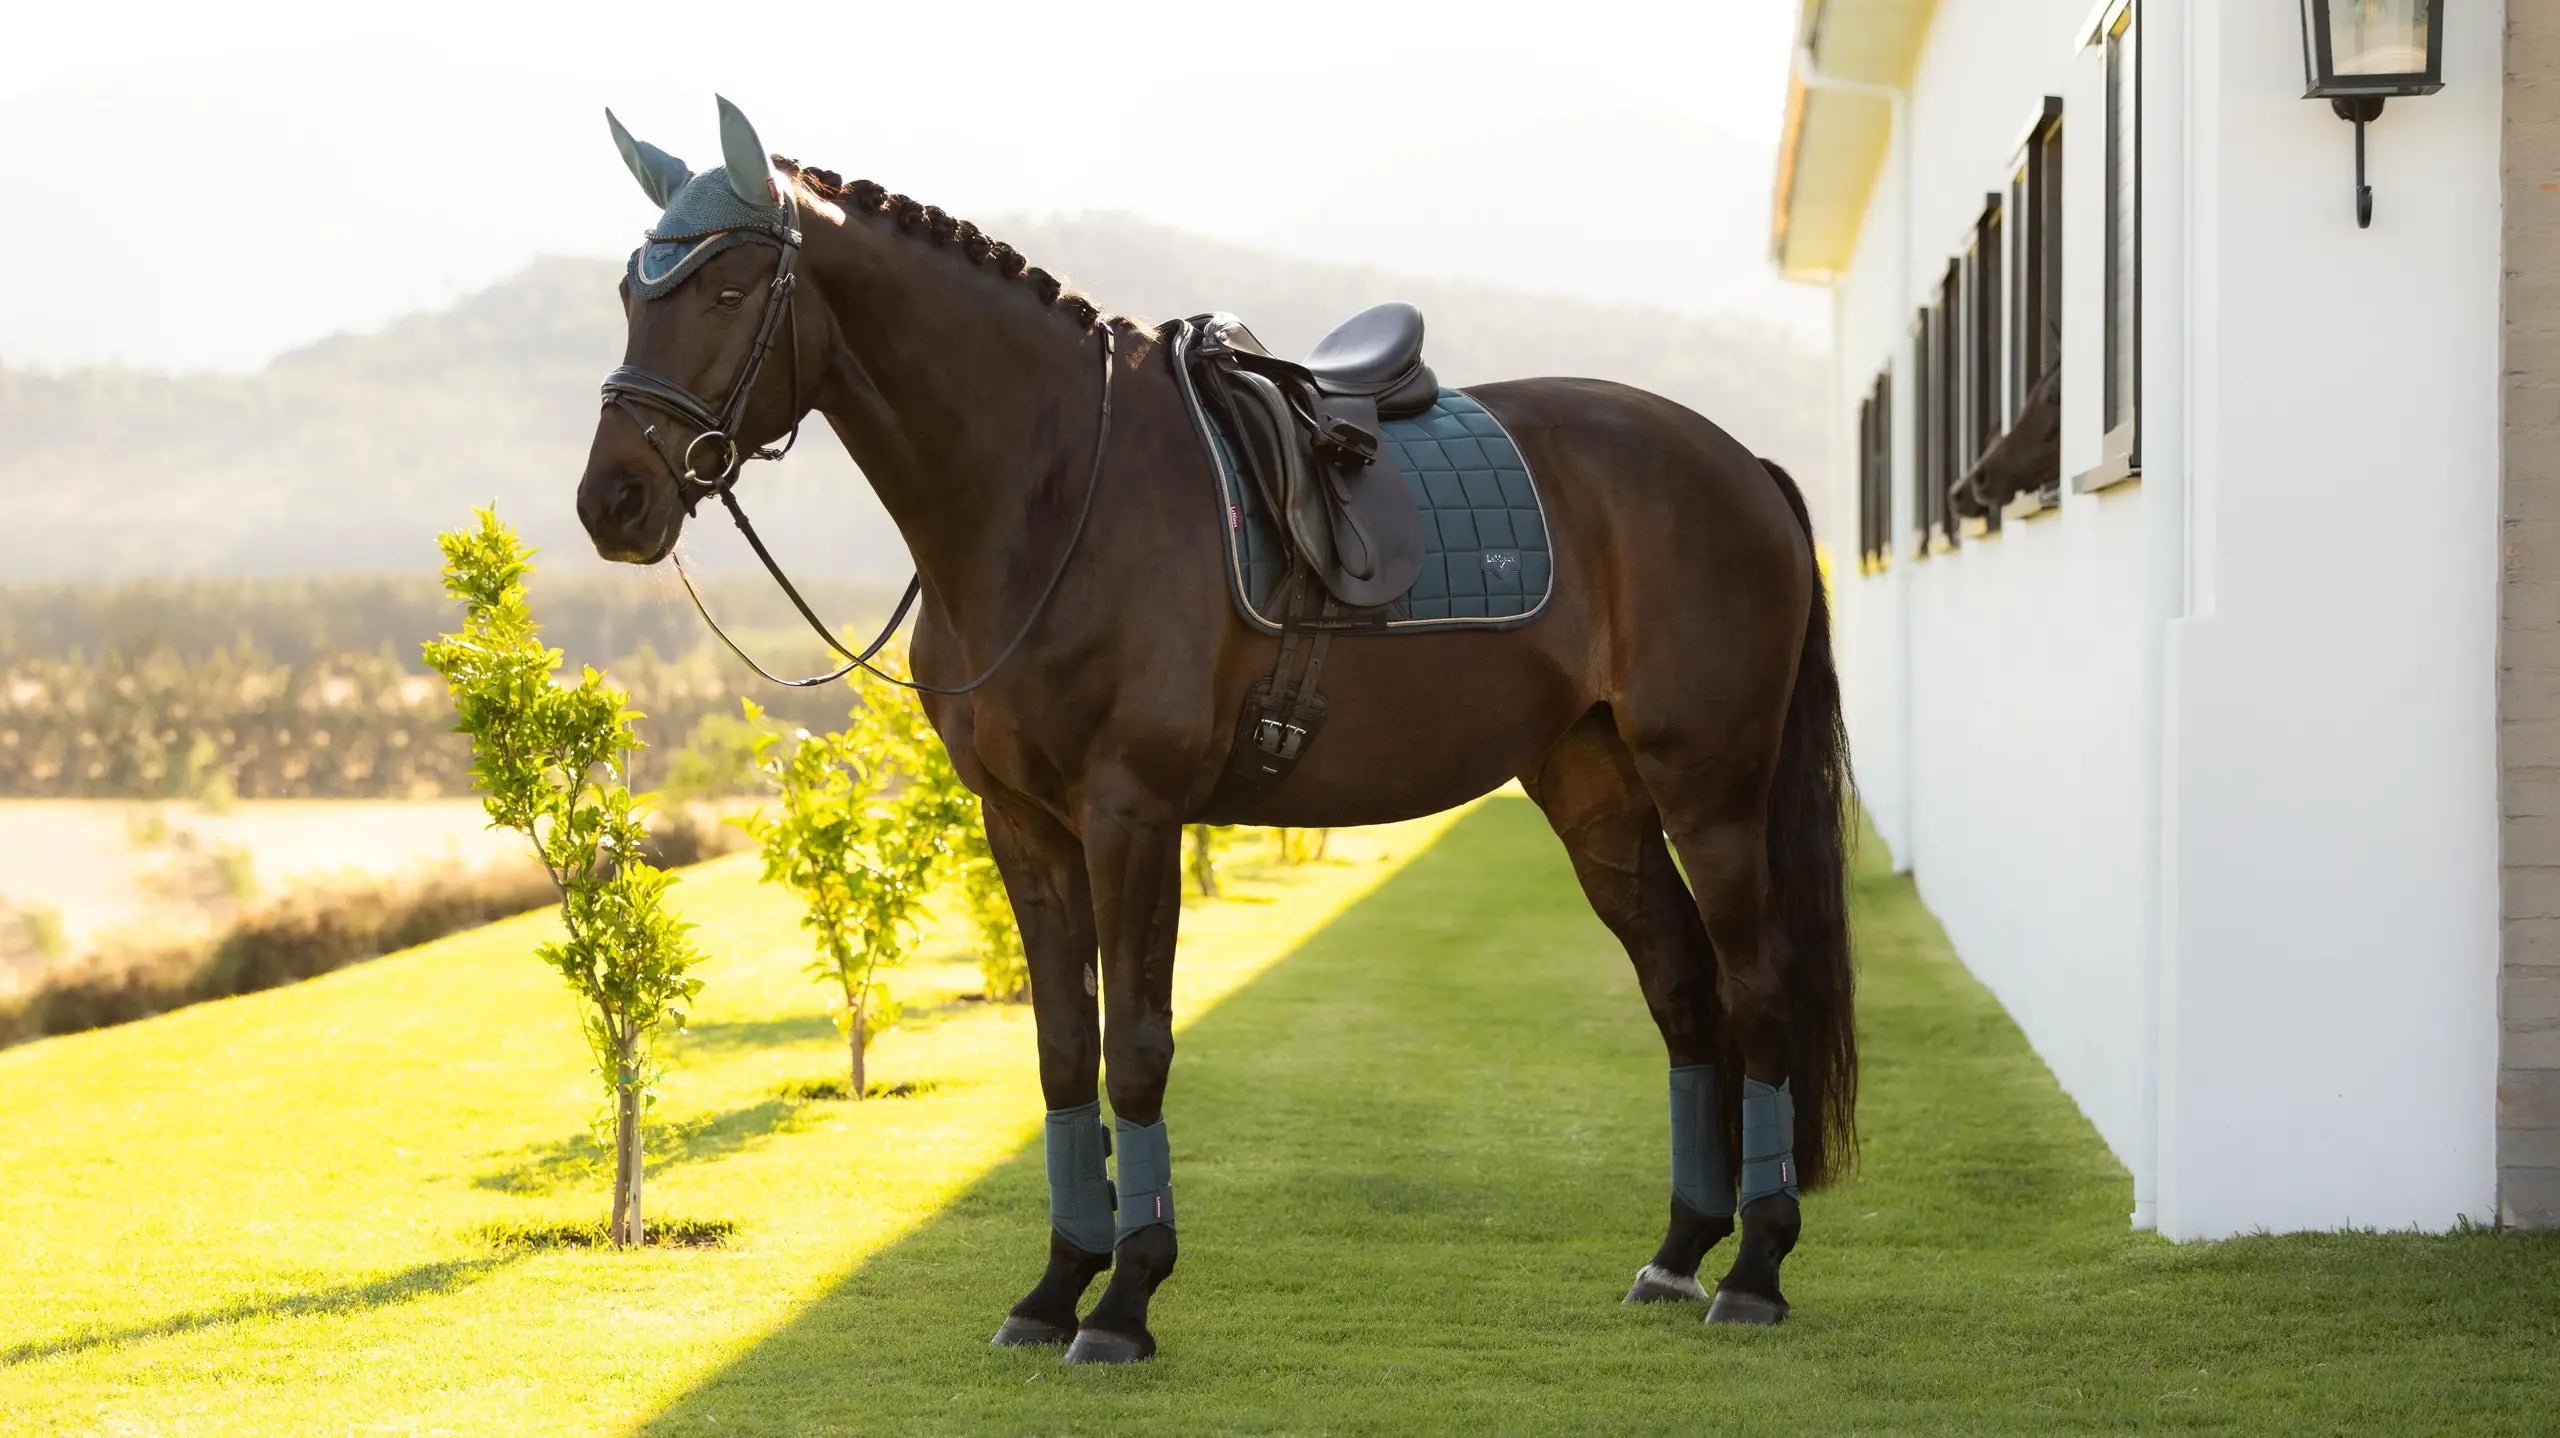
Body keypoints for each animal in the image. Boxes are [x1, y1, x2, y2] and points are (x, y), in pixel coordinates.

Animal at [577, 98, 1855, 1364]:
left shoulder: (1132, 813)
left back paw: (1754, 1270)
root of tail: (1739, 464)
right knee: (1682, 990)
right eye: (633, 291)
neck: (1052, 495)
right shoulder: (1021, 823)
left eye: (727, 290)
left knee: (1757, 993)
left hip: (1712, 788)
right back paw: (1679, 1252)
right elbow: (1062, 1049)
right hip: (1594, 788)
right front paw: (1055, 1287)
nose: (613, 503)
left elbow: (1137, 1047)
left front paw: (1125, 1298)